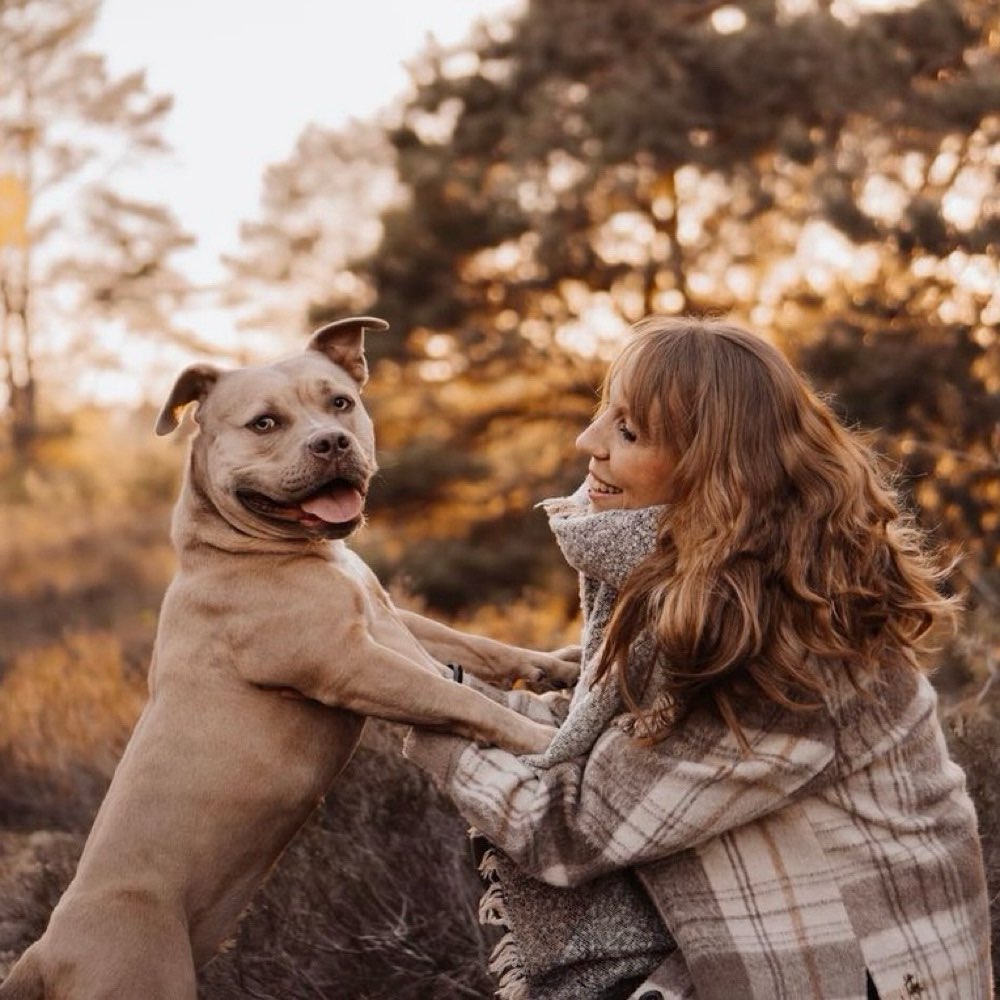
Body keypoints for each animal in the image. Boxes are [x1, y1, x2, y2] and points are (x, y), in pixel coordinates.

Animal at [1, 318, 580, 1000]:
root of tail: (44, 952)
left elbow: (474, 647)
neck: (251, 550)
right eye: (264, 423)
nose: (330, 442)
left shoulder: (391, 619)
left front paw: (558, 668)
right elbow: (461, 697)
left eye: (341, 403)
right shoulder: (352, 664)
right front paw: (545, 736)